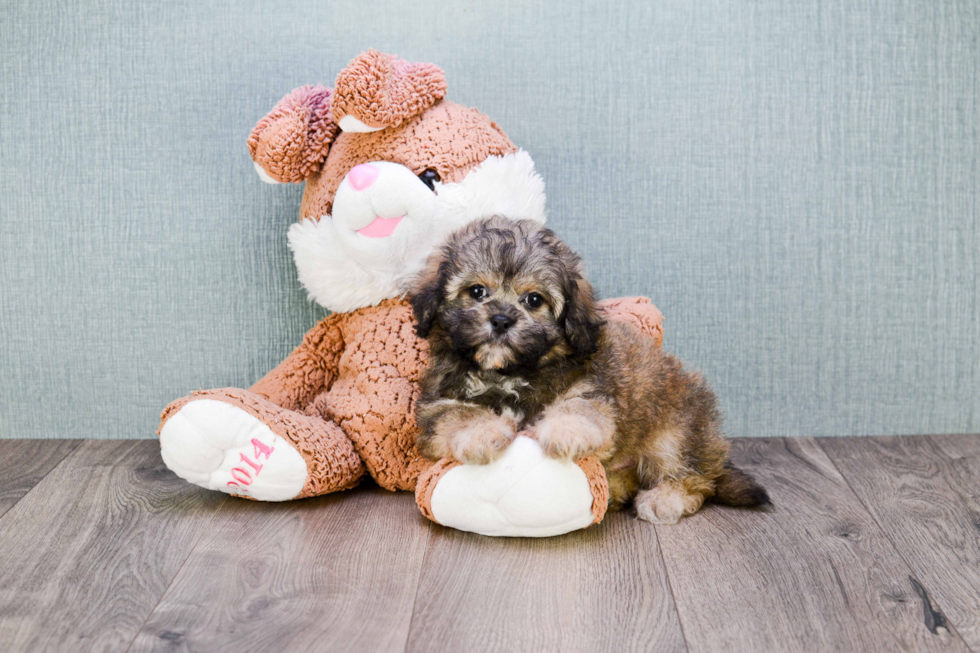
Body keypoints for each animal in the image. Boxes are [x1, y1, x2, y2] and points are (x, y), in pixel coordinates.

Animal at [410, 216, 768, 524]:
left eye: (534, 300)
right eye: (477, 291)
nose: (500, 320)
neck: (509, 371)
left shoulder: (592, 384)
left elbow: (580, 405)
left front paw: (565, 431)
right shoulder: (436, 401)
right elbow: (455, 414)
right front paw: (483, 431)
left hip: (676, 430)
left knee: (696, 478)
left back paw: (666, 497)